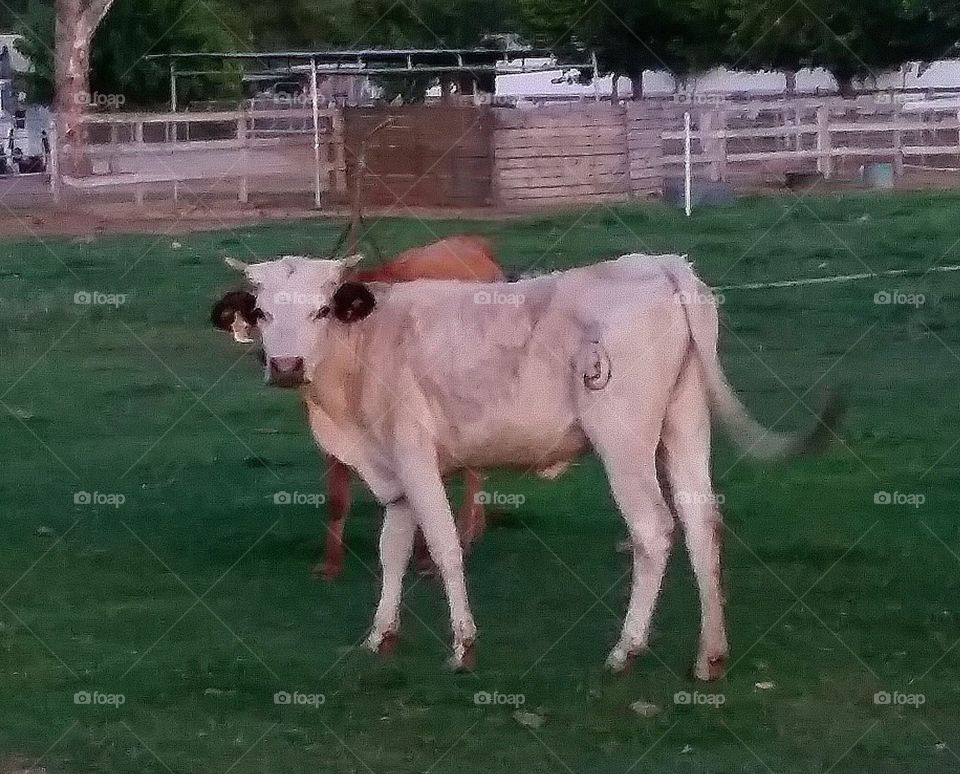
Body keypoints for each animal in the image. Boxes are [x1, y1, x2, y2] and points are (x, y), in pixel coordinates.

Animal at [212, 235, 503, 580]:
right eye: (260, 312)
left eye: (322, 311)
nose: (286, 367)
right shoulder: (330, 426)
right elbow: (338, 497)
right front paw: (330, 565)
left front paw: (425, 560)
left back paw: (468, 531)